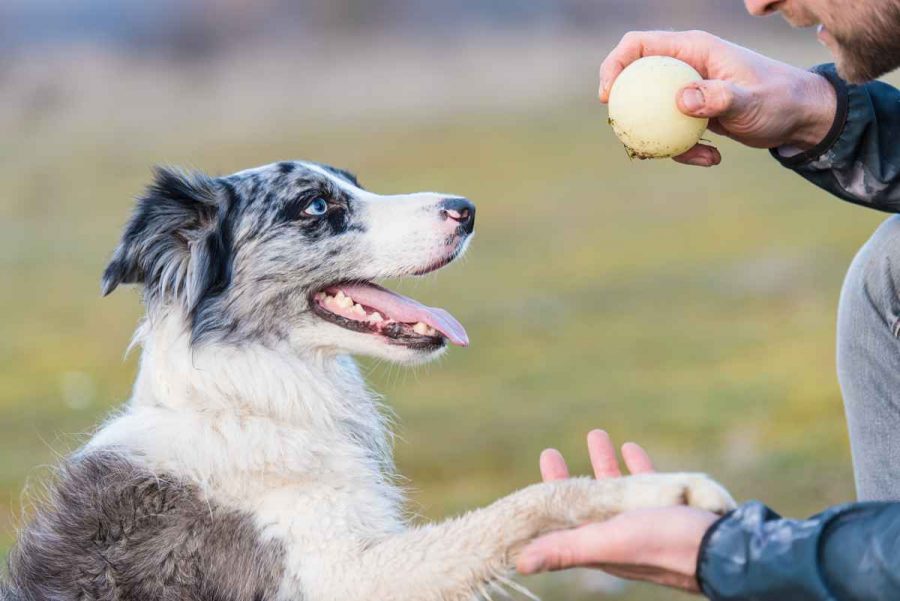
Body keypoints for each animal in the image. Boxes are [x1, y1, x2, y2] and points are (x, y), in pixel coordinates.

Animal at [1, 162, 740, 600]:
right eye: (315, 204)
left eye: (349, 180)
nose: (466, 208)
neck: (249, 395)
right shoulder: (342, 576)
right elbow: (530, 501)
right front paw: (664, 491)